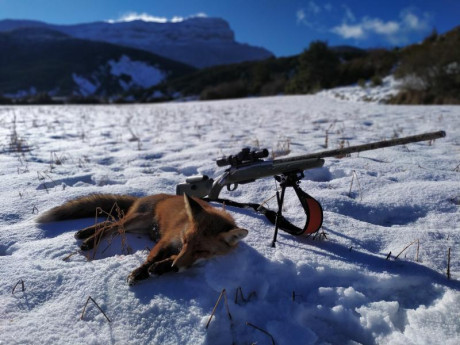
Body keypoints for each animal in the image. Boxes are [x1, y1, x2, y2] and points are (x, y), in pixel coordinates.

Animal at [37, 192, 250, 284]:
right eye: (185, 241)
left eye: (202, 251)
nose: (175, 268)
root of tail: (142, 197)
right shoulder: (168, 239)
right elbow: (151, 258)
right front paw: (140, 272)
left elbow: (173, 260)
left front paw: (162, 267)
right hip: (138, 220)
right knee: (112, 226)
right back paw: (89, 239)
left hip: (138, 227)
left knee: (111, 223)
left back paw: (86, 233)